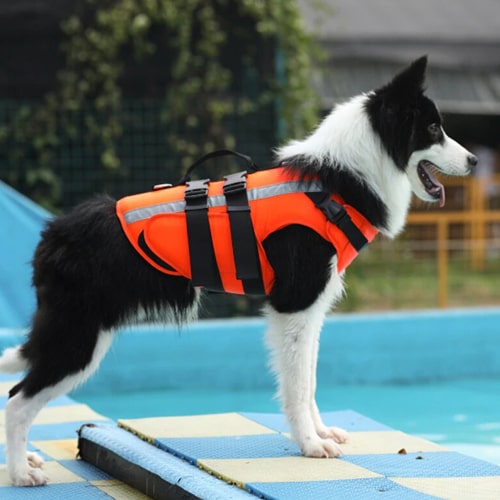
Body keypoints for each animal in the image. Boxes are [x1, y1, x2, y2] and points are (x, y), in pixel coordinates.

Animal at [0, 56, 476, 486]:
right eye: (433, 130)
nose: (473, 161)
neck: (335, 180)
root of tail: (53, 233)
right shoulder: (294, 305)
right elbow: (297, 386)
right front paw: (310, 445)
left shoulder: (310, 312)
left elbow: (309, 380)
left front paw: (320, 433)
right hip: (78, 340)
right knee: (17, 402)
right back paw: (22, 473)